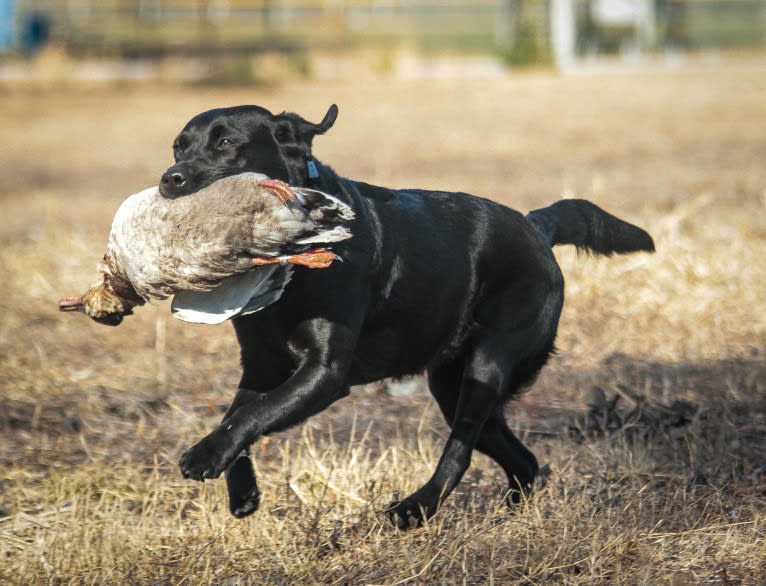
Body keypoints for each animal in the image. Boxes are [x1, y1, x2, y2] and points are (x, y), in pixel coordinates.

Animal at [160, 102, 656, 528]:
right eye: (178, 146)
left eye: (226, 143)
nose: (171, 179)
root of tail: (536, 226)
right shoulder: (261, 365)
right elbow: (241, 414)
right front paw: (241, 490)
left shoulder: (325, 372)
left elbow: (253, 414)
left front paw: (203, 456)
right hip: (450, 383)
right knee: (523, 459)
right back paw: (511, 515)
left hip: (487, 365)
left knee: (462, 449)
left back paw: (416, 508)